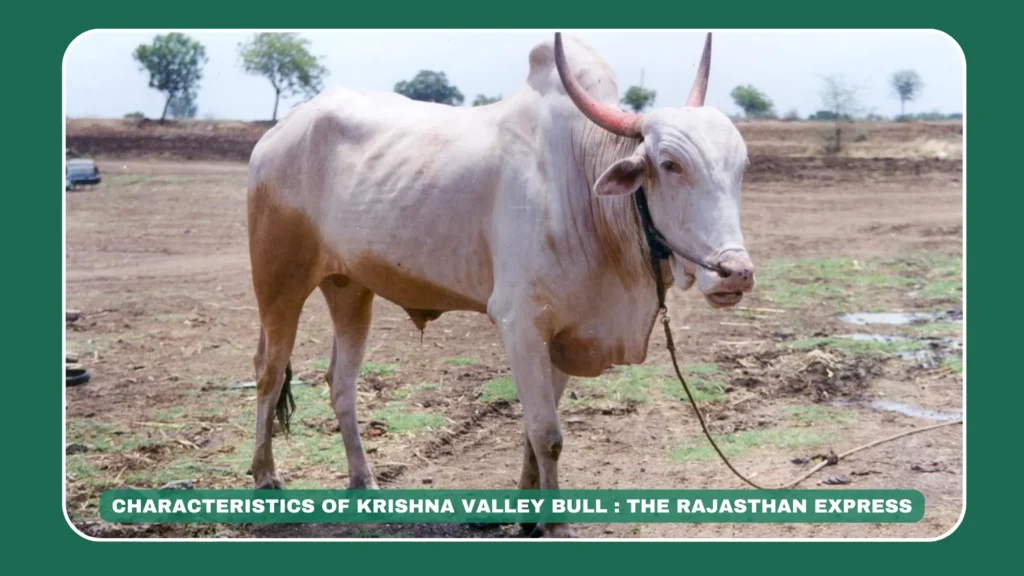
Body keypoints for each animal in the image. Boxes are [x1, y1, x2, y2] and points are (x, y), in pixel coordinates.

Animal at [245, 32, 755, 537]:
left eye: (741, 166)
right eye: (670, 164)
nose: (736, 272)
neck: (583, 185)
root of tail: (280, 131)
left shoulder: (563, 336)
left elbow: (533, 431)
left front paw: (529, 516)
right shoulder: (521, 324)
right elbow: (547, 434)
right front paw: (555, 525)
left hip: (349, 288)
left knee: (342, 383)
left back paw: (362, 480)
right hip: (279, 279)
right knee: (269, 372)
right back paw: (266, 476)